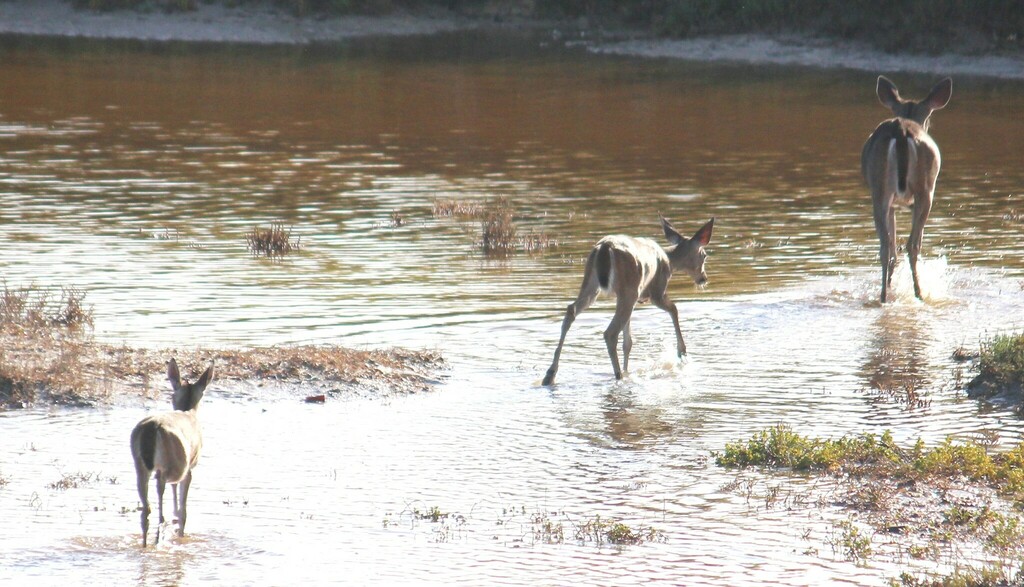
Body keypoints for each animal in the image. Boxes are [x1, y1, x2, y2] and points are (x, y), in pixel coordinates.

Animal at [130, 358, 214, 547]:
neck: (188, 411)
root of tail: (152, 428)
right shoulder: (189, 467)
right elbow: (182, 507)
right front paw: (179, 530)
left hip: (140, 465)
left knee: (146, 508)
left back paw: (146, 545)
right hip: (170, 465)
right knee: (160, 503)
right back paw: (160, 536)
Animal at [542, 217, 714, 386]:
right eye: (704, 255)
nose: (703, 278)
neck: (669, 261)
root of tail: (605, 247)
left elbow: (628, 342)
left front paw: (627, 369)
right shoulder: (656, 292)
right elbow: (674, 309)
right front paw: (682, 352)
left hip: (593, 284)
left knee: (571, 310)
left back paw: (550, 374)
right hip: (629, 289)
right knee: (610, 333)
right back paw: (618, 376)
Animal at [862, 75, 952, 303]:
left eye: (927, 116)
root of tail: (902, 130)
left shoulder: (894, 204)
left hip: (880, 191)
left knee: (887, 246)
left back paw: (884, 296)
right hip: (925, 190)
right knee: (911, 245)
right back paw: (918, 294)